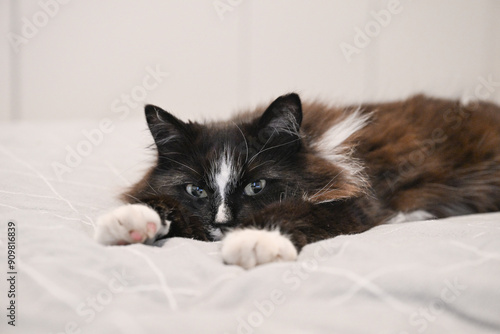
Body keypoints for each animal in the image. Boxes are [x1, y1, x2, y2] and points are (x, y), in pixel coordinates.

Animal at [94, 93, 500, 268]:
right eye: (197, 190)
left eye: (256, 187)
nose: (223, 224)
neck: (316, 146)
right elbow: (164, 206)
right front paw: (128, 221)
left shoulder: (354, 202)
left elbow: (296, 211)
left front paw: (254, 240)